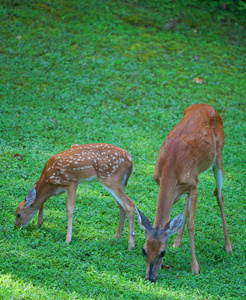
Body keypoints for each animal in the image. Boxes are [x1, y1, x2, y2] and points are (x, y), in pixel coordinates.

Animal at [136, 103, 233, 282]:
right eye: (143, 250)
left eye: (162, 253)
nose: (150, 277)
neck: (171, 165)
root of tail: (208, 106)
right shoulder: (171, 184)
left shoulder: (193, 186)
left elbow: (191, 225)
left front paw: (195, 268)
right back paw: (177, 242)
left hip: (219, 156)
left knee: (219, 195)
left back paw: (228, 247)